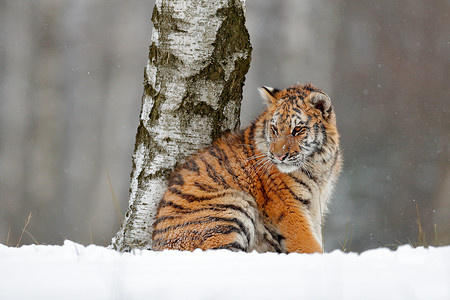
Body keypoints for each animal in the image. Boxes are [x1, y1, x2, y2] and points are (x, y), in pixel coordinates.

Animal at [151, 82, 342, 253]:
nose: (279, 156)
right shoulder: (289, 207)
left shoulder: (317, 206)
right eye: (274, 129)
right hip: (230, 207)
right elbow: (309, 245)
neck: (319, 164)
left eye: (297, 130)